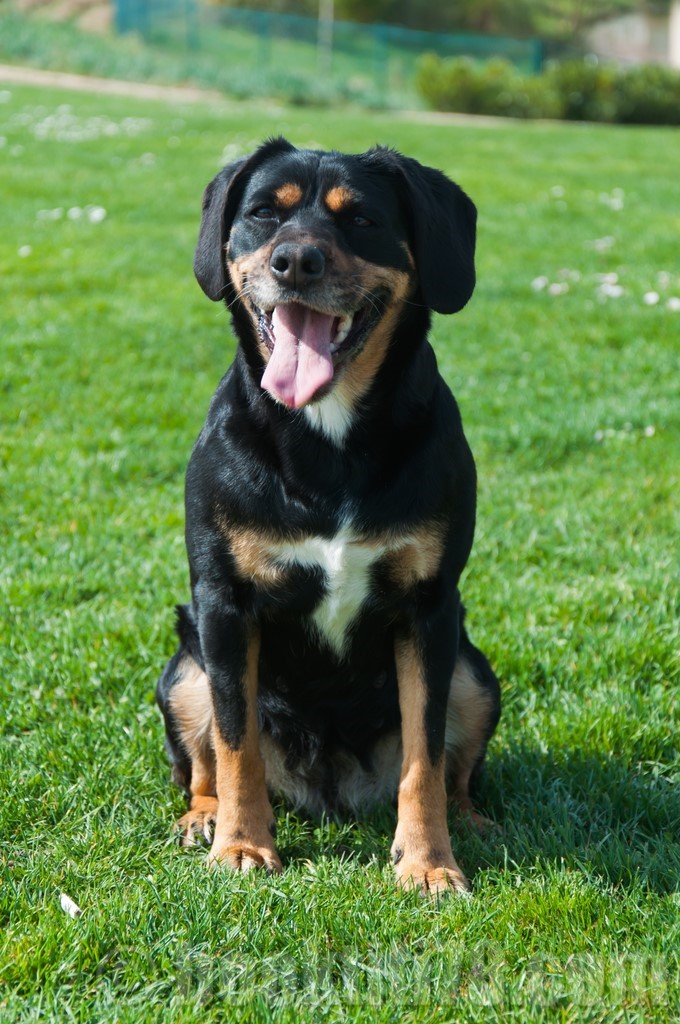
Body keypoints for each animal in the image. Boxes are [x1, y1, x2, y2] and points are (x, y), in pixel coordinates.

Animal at [156, 137, 501, 896]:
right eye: (263, 212)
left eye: (362, 219)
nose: (296, 262)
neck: (328, 436)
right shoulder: (224, 604)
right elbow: (235, 742)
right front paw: (241, 846)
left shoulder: (430, 609)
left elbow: (426, 754)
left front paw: (429, 862)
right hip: (184, 668)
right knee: (202, 762)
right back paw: (204, 819)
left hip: (475, 673)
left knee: (458, 768)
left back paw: (471, 821)